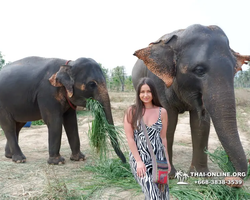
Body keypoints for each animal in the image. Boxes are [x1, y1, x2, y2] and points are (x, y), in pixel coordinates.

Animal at [132, 23, 249, 178]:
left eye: (234, 70)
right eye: (199, 70)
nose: (231, 173)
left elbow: (200, 123)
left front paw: (200, 175)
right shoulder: (158, 82)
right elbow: (168, 121)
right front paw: (170, 175)